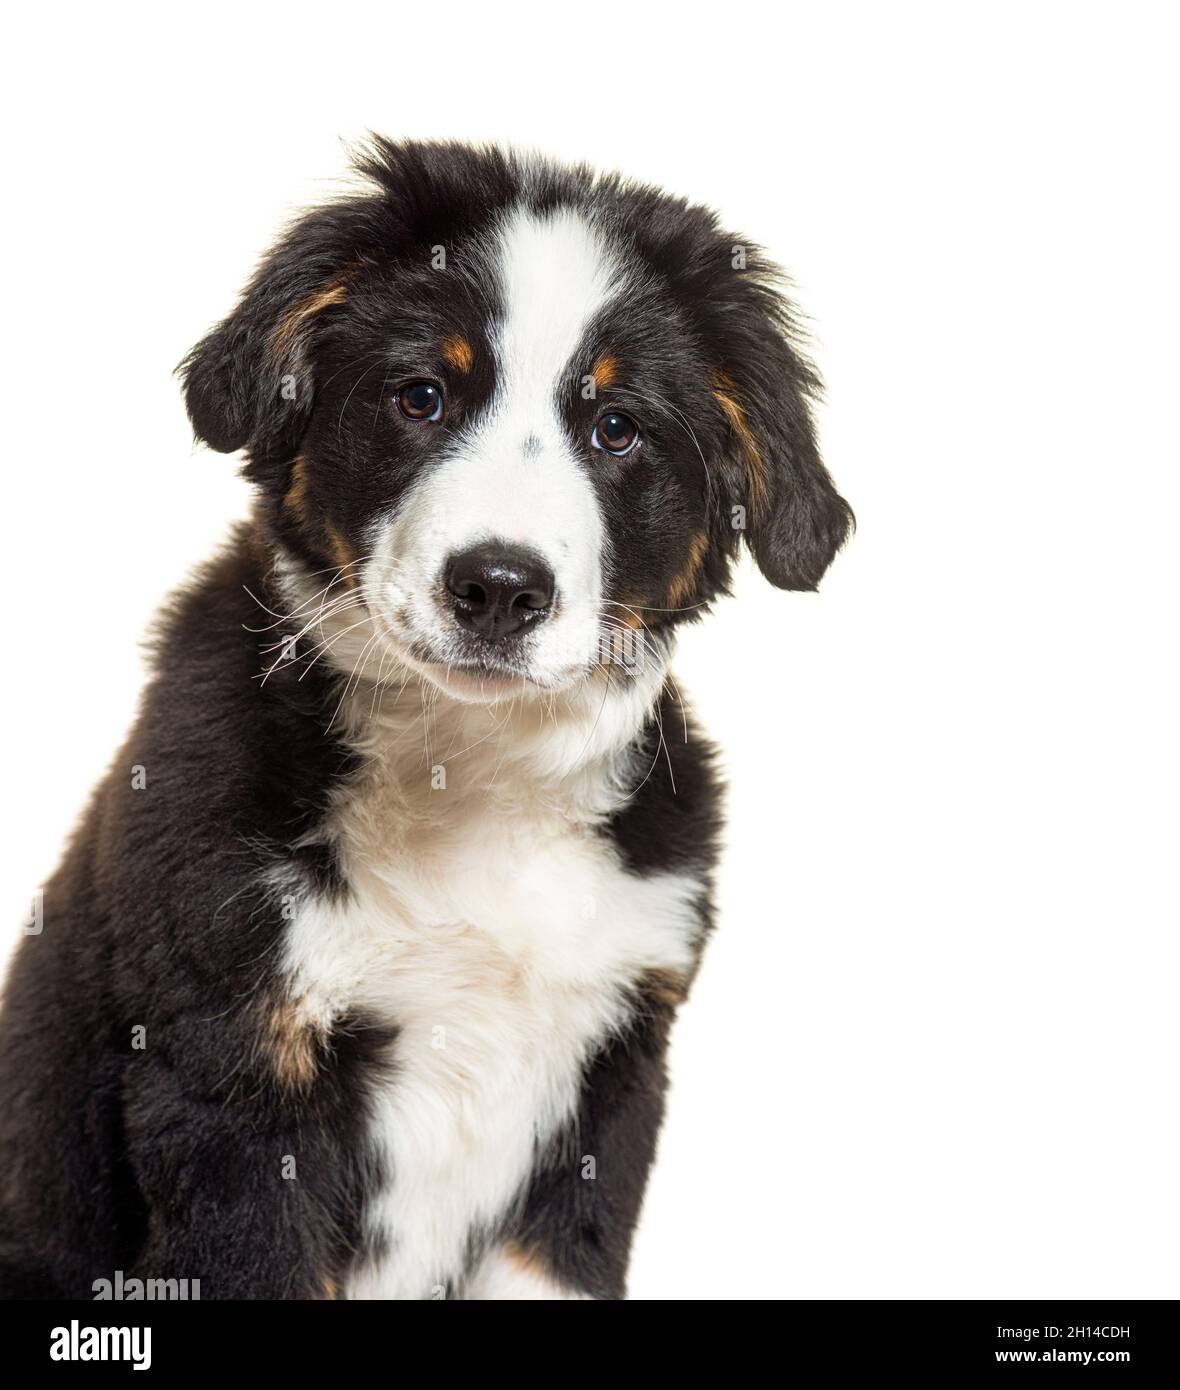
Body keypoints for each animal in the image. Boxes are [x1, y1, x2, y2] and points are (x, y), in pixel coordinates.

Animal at [0, 141, 845, 1301]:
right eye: (421, 397)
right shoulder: (230, 1073)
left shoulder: (611, 1074)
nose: (499, 588)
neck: (469, 771)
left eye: (616, 428)